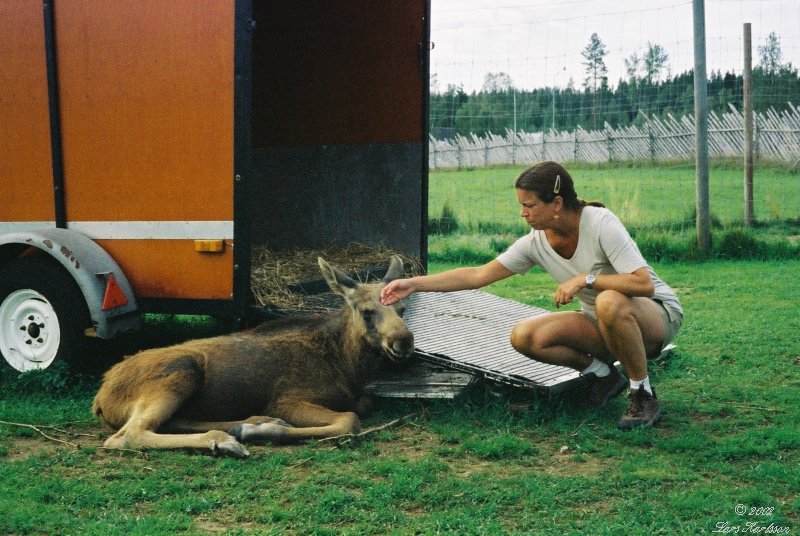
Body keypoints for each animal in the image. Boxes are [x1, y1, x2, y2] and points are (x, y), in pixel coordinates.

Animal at [93, 258, 416, 458]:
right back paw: (227, 439)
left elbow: (364, 403)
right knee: (128, 435)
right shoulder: (287, 399)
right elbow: (350, 418)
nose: (403, 341)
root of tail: (100, 398)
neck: (347, 365)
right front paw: (268, 431)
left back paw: (245, 425)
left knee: (170, 422)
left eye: (401, 309)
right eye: (366, 311)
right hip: (181, 371)